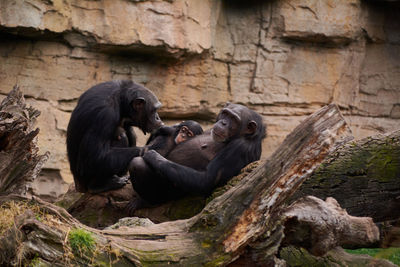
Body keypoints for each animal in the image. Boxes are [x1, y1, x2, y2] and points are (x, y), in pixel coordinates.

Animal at [128, 102, 266, 211]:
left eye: (234, 119)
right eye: (226, 114)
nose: (223, 122)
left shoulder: (240, 148)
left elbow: (207, 179)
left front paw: (151, 154)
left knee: (138, 165)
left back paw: (144, 201)